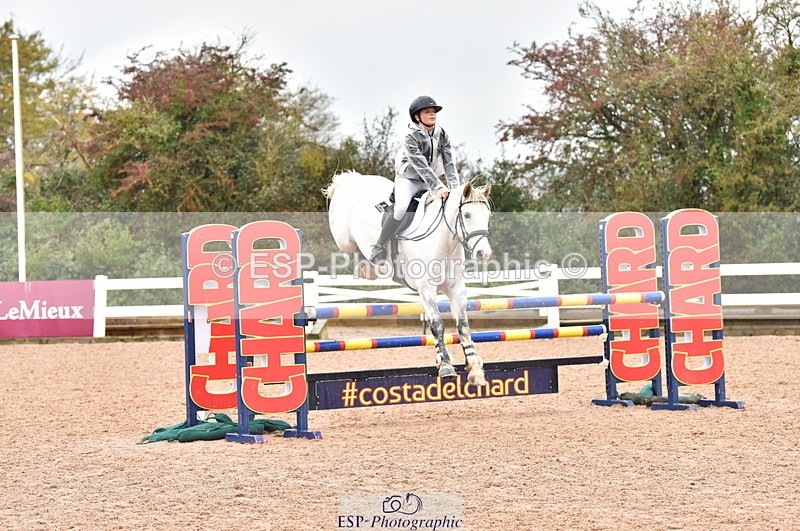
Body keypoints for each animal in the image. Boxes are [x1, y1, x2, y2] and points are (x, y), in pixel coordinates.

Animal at [323, 171, 493, 386]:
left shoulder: (456, 289)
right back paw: (368, 258)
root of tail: (353, 179)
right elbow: (437, 325)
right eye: (467, 215)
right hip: (344, 238)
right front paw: (446, 366)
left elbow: (463, 326)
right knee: (349, 246)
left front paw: (474, 368)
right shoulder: (426, 287)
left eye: (487, 215)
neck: (444, 242)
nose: (484, 253)